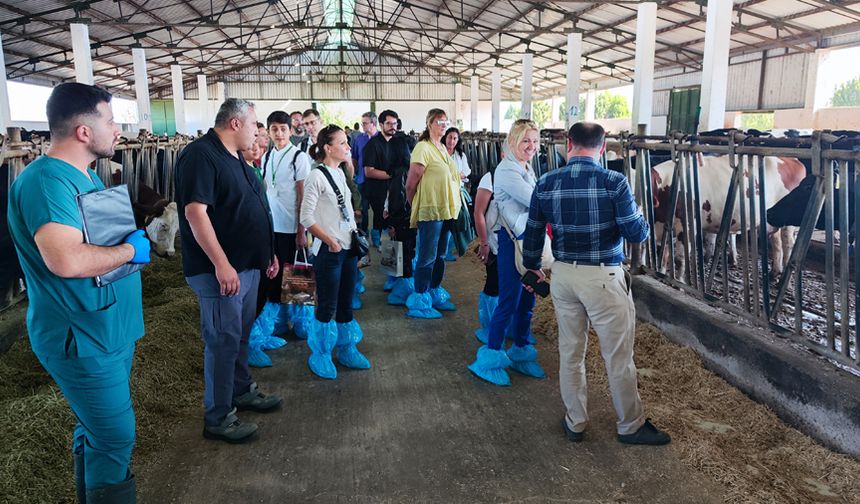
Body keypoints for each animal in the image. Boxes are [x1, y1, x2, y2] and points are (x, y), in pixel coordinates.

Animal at [652, 154, 808, 280]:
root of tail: (792, 160)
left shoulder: (687, 224)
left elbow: (679, 259)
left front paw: (678, 283)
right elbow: (664, 255)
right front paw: (661, 274)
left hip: (788, 221)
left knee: (787, 244)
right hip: (772, 220)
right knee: (777, 244)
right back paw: (773, 273)